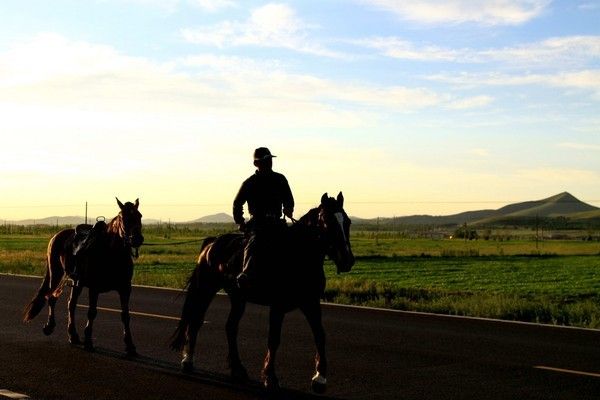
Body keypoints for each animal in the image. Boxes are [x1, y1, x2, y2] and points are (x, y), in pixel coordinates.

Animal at [22, 198, 145, 356]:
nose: (137, 239)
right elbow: (92, 312)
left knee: (71, 304)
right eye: (123, 218)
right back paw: (49, 326)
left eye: (139, 216)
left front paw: (130, 346)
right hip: (56, 274)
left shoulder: (125, 289)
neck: (112, 254)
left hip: (77, 283)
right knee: (51, 297)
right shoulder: (94, 288)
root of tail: (56, 236)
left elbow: (125, 315)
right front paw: (88, 341)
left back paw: (73, 335)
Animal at [169, 193, 354, 394]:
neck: (297, 256)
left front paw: (320, 378)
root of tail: (212, 243)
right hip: (206, 288)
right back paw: (188, 360)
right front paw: (270, 377)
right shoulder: (278, 306)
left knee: (230, 327)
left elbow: (320, 335)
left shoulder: (311, 303)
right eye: (328, 222)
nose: (347, 260)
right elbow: (274, 339)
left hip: (238, 298)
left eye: (348, 222)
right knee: (196, 320)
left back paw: (238, 369)